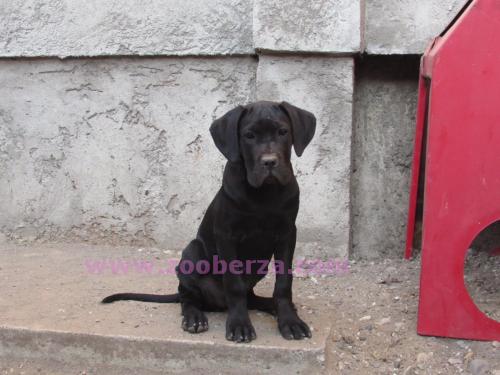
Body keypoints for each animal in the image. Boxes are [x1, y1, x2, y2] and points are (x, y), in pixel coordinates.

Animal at [102, 100, 316, 344]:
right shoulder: (226, 236)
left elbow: (283, 282)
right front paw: (240, 324)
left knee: (250, 297)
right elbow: (233, 284)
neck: (264, 193)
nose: (269, 162)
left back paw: (270, 305)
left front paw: (289, 320)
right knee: (188, 297)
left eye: (283, 132)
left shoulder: (287, 234)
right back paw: (194, 318)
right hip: (192, 252)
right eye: (249, 135)